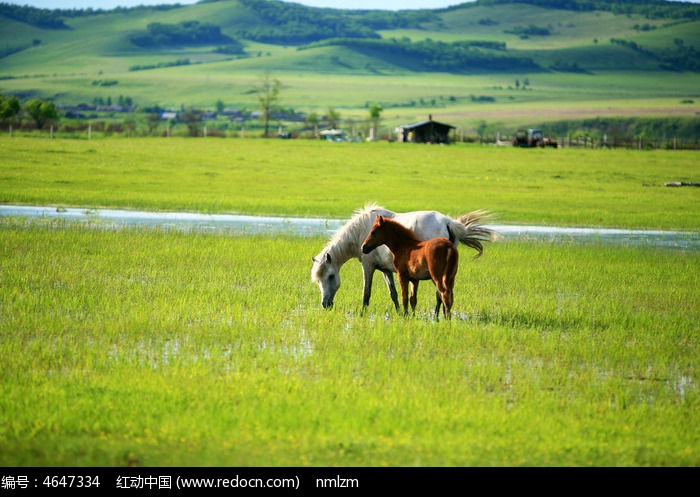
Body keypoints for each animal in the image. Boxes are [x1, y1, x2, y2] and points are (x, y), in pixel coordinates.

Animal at [310, 203, 498, 308]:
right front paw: (400, 313)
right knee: (441, 295)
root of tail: (448, 222)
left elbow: (366, 294)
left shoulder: (368, 266)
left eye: (331, 276)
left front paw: (363, 315)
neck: (362, 231)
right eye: (318, 280)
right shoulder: (385, 270)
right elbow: (393, 294)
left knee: (441, 294)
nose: (325, 305)